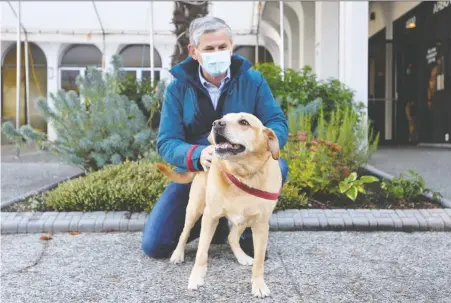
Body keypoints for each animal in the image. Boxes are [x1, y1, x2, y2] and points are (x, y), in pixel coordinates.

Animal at [157, 113, 280, 298]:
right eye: (223, 118)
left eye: (244, 122)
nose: (216, 124)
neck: (242, 175)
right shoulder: (210, 217)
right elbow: (201, 252)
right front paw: (196, 277)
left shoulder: (261, 225)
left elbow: (259, 262)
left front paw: (258, 284)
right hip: (194, 209)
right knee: (184, 233)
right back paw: (178, 254)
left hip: (243, 220)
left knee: (232, 237)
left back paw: (242, 256)